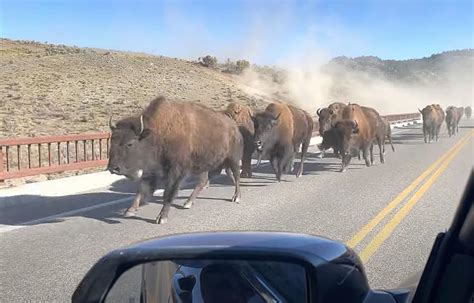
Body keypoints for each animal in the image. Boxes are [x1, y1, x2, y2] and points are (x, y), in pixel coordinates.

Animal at [106, 97, 243, 226]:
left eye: (130, 143)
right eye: (112, 140)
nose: (113, 168)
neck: (158, 132)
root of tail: (234, 127)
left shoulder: (176, 171)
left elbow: (169, 192)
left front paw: (161, 217)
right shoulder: (151, 169)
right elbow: (141, 188)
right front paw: (130, 210)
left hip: (233, 159)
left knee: (236, 176)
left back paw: (236, 197)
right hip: (203, 165)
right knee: (203, 181)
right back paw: (188, 203)